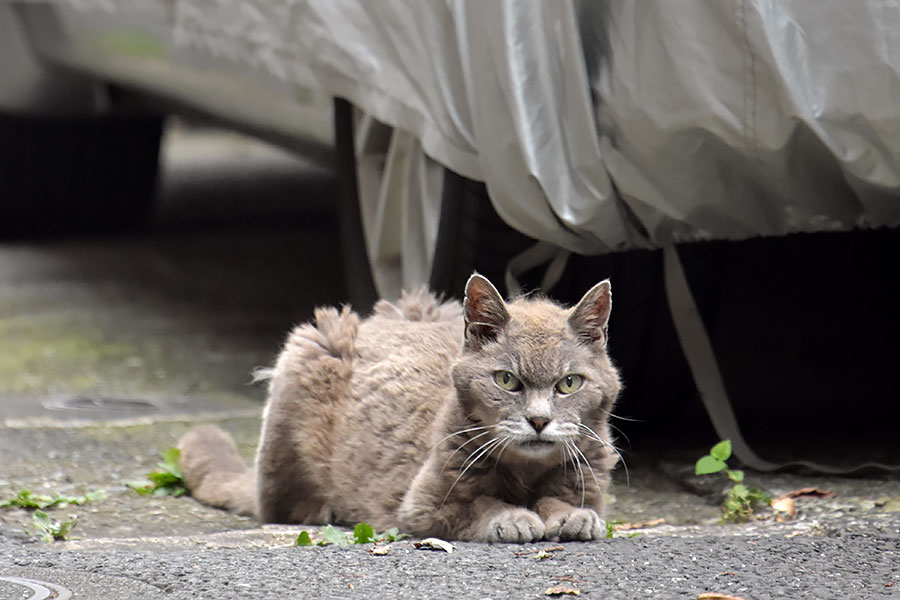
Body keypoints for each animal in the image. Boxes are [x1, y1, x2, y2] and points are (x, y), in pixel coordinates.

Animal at [179, 274, 624, 540]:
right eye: (506, 380)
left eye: (569, 383)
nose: (539, 420)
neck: (525, 472)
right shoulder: (423, 505)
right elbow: (478, 504)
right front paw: (512, 517)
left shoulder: (586, 479)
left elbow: (569, 500)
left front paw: (572, 516)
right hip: (305, 354)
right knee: (284, 504)